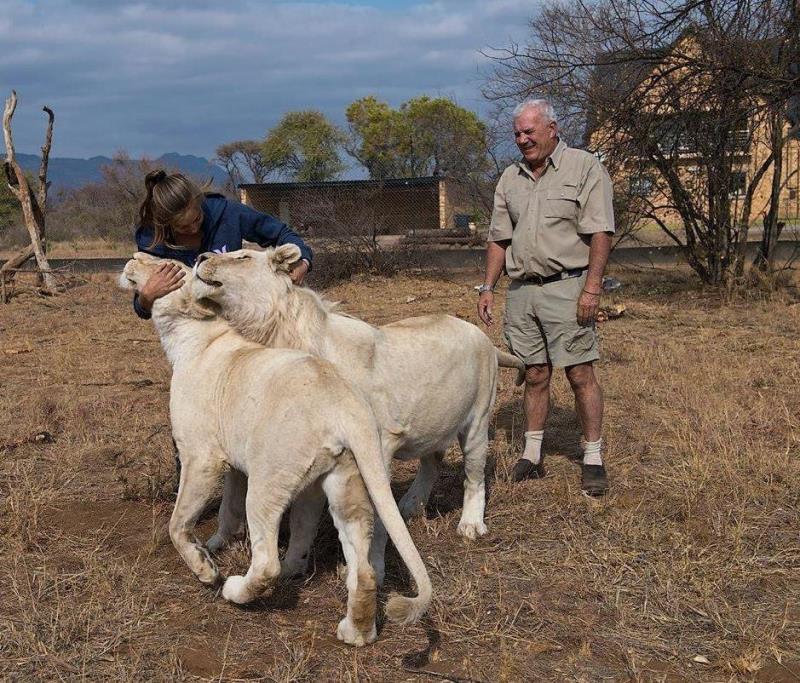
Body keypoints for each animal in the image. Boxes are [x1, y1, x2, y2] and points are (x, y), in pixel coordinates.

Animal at [119, 252, 432, 648]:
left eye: (168, 267)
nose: (134, 256)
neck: (198, 335)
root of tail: (344, 403)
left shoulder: (201, 455)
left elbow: (177, 523)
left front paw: (205, 567)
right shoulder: (233, 460)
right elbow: (226, 506)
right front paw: (217, 543)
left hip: (268, 478)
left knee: (268, 561)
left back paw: (234, 590)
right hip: (346, 479)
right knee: (363, 567)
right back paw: (356, 633)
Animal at [189, 246, 524, 584]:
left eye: (242, 256)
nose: (201, 256)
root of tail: (485, 338)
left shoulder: (378, 442)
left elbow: (374, 513)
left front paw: (371, 569)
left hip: (478, 421)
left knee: (474, 475)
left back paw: (470, 525)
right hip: (434, 425)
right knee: (432, 463)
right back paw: (410, 506)